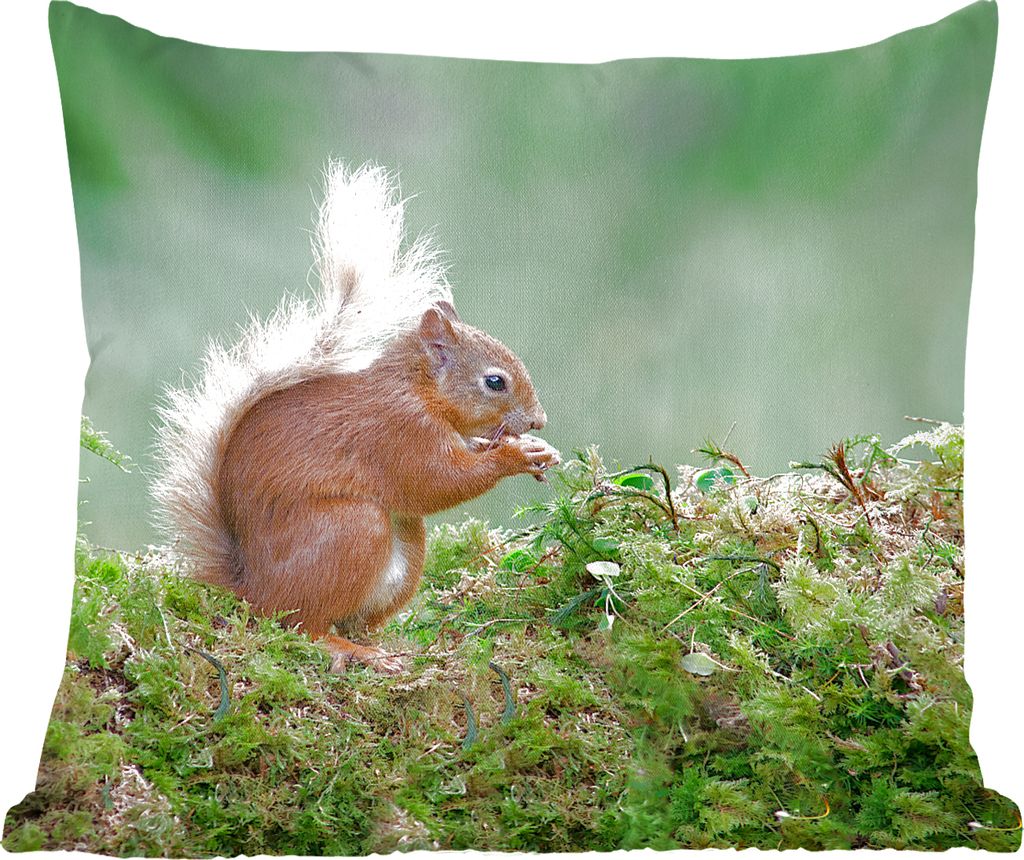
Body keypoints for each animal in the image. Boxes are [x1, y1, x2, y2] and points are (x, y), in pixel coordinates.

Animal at [152, 162, 560, 673]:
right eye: (495, 382)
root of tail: (249, 588)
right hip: (352, 532)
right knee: (298, 623)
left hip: (404, 547)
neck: (417, 389)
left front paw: (535, 450)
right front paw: (515, 456)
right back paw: (349, 650)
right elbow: (437, 481)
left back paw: (378, 644)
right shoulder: (399, 432)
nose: (538, 421)